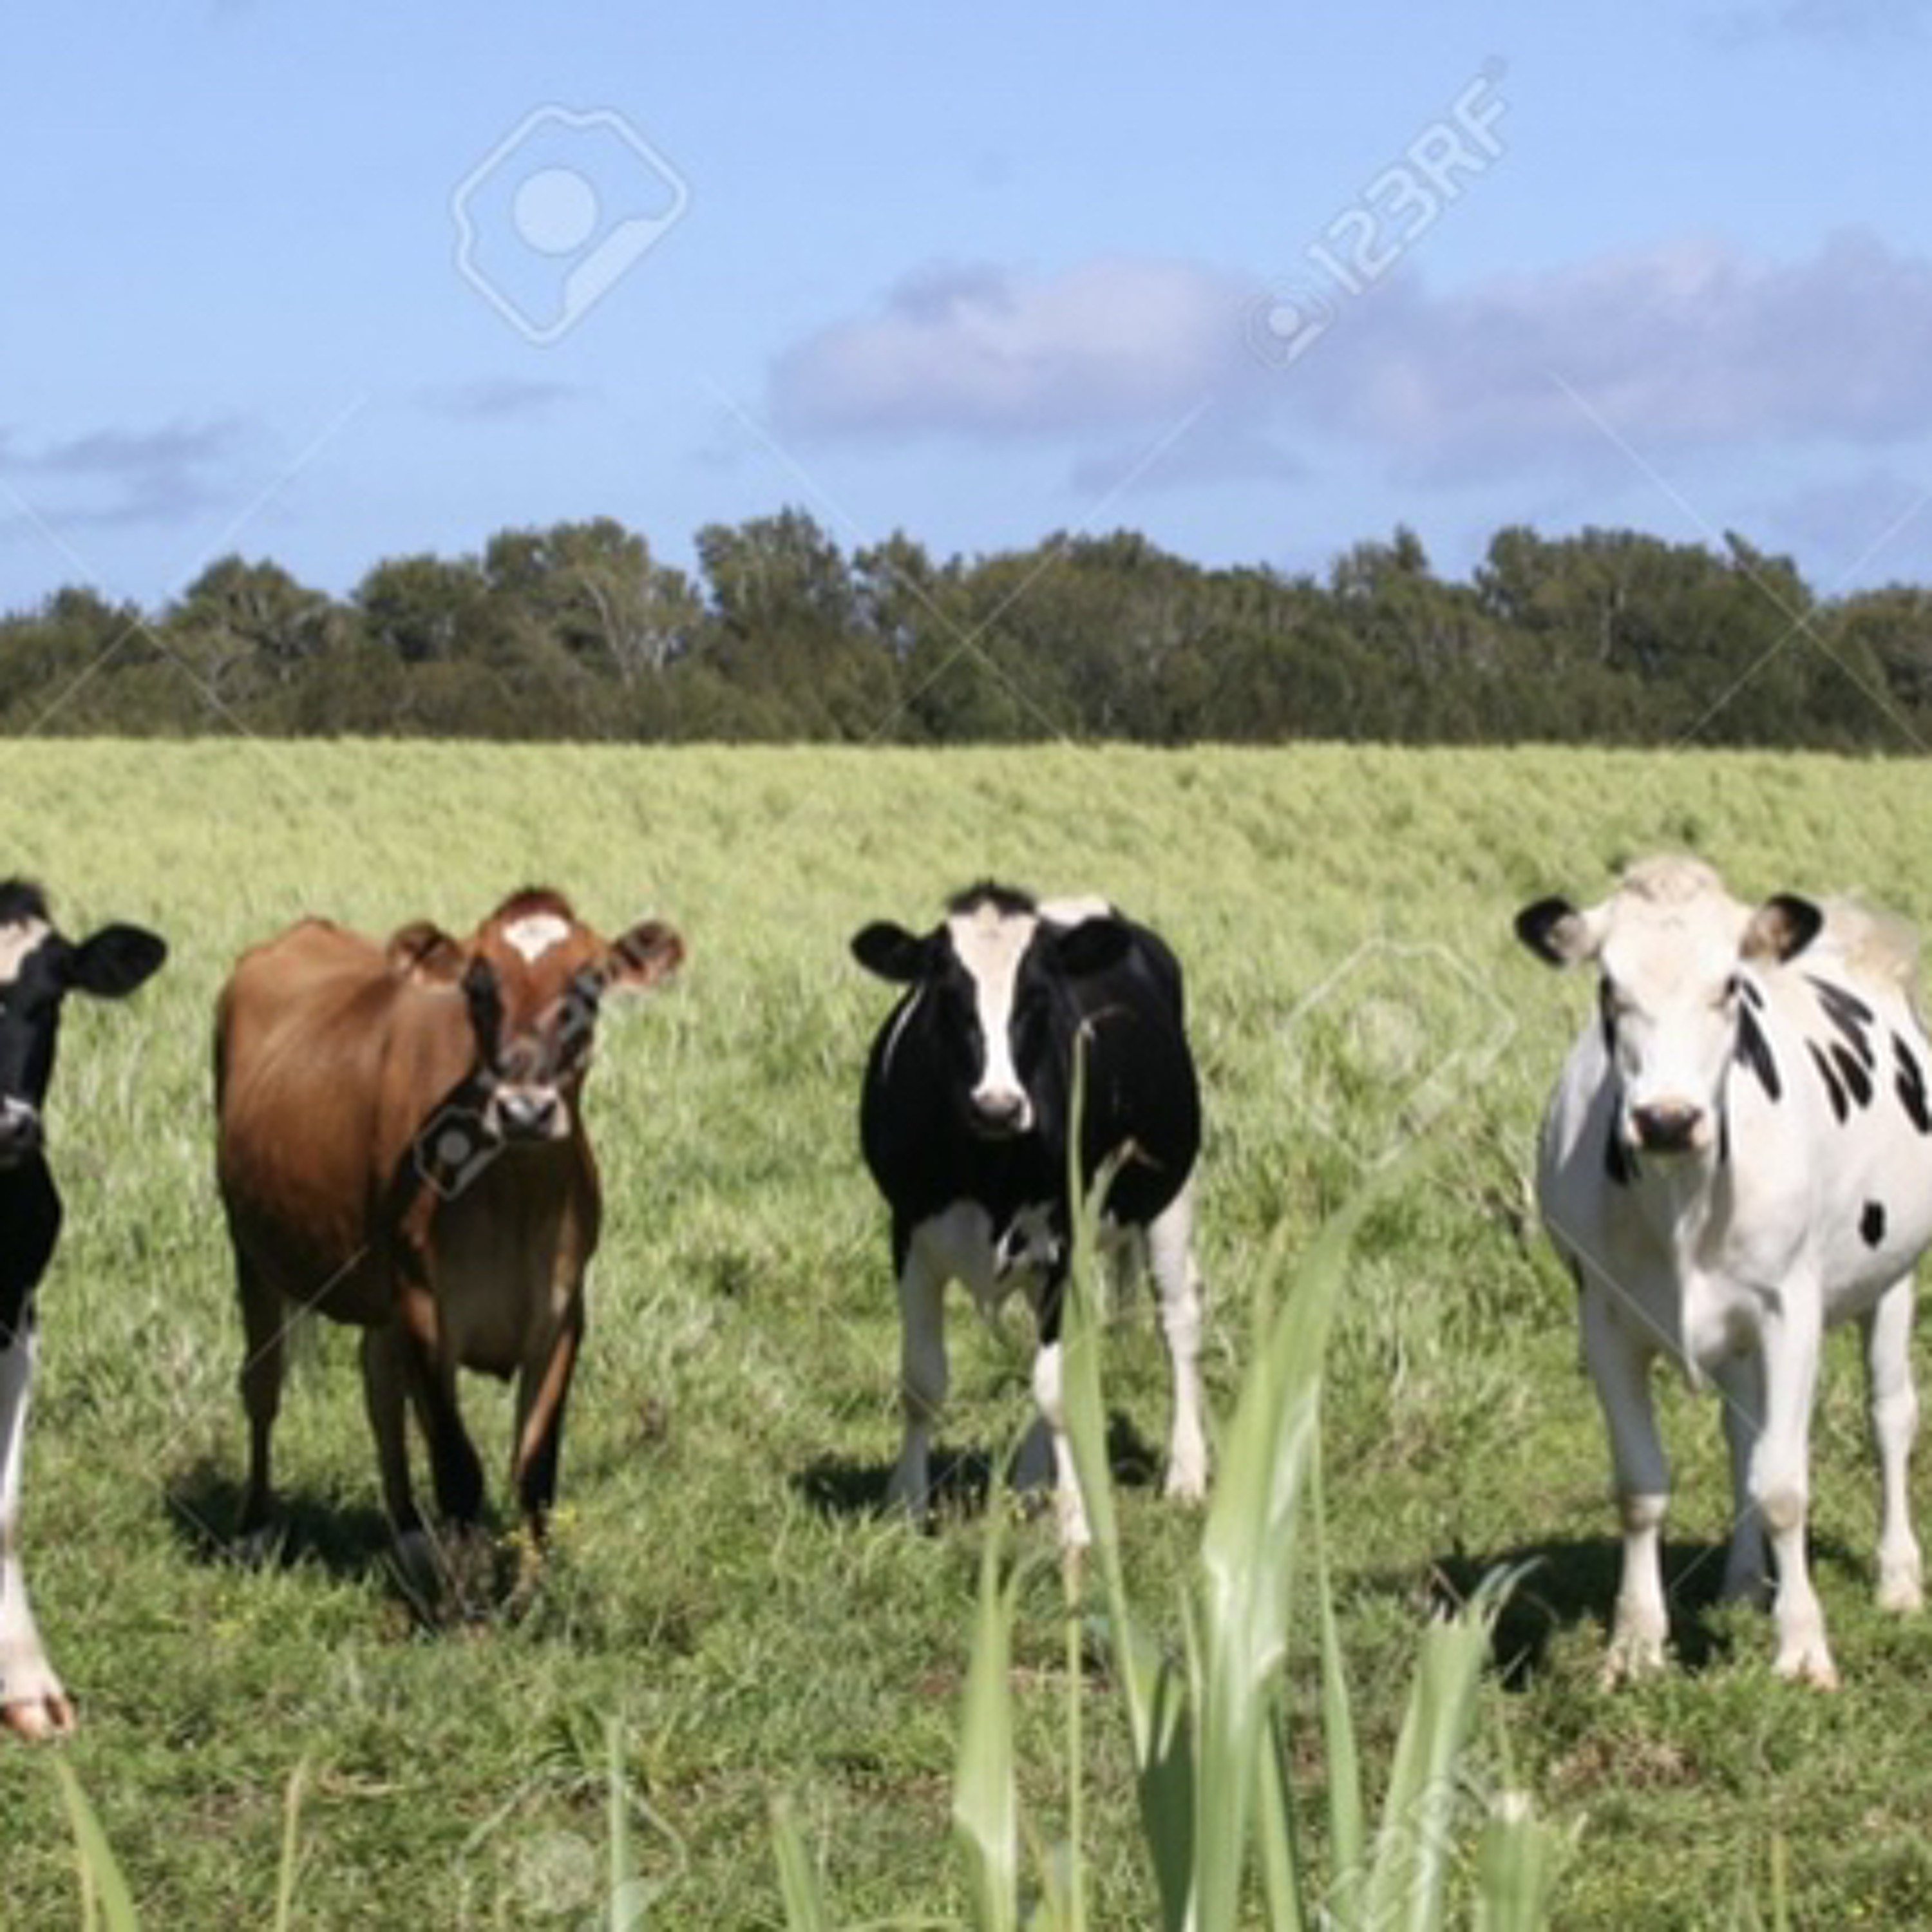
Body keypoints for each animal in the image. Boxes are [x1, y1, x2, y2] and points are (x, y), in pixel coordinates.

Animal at [214, 888, 683, 1594]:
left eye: (591, 985)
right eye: (479, 987)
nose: (525, 1110)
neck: (515, 1195)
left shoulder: (563, 1313)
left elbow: (535, 1469)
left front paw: (527, 1593)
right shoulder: (424, 1307)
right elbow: (458, 1469)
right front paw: (466, 1602)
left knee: (378, 1387)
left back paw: (409, 1536)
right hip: (251, 1246)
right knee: (263, 1384)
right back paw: (254, 1528)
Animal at [851, 882, 1206, 1547]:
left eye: (1038, 997)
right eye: (946, 996)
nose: (997, 1106)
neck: (988, 1168)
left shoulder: (1065, 1245)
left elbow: (1056, 1391)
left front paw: (1077, 1528)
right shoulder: (908, 1233)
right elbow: (921, 1383)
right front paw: (906, 1507)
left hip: (1170, 1195)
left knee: (1179, 1323)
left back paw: (1186, 1475)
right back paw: (1033, 1480)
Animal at [1516, 854, 1932, 1686]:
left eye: (1730, 985)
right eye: (1610, 987)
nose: (1667, 1118)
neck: (1681, 1196)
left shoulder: (1790, 1309)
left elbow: (1784, 1485)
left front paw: (1802, 1649)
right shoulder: (1603, 1318)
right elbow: (1642, 1486)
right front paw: (1635, 1645)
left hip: (1893, 1276)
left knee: (1891, 1414)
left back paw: (1899, 1579)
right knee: (1744, 1431)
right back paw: (1743, 1585)